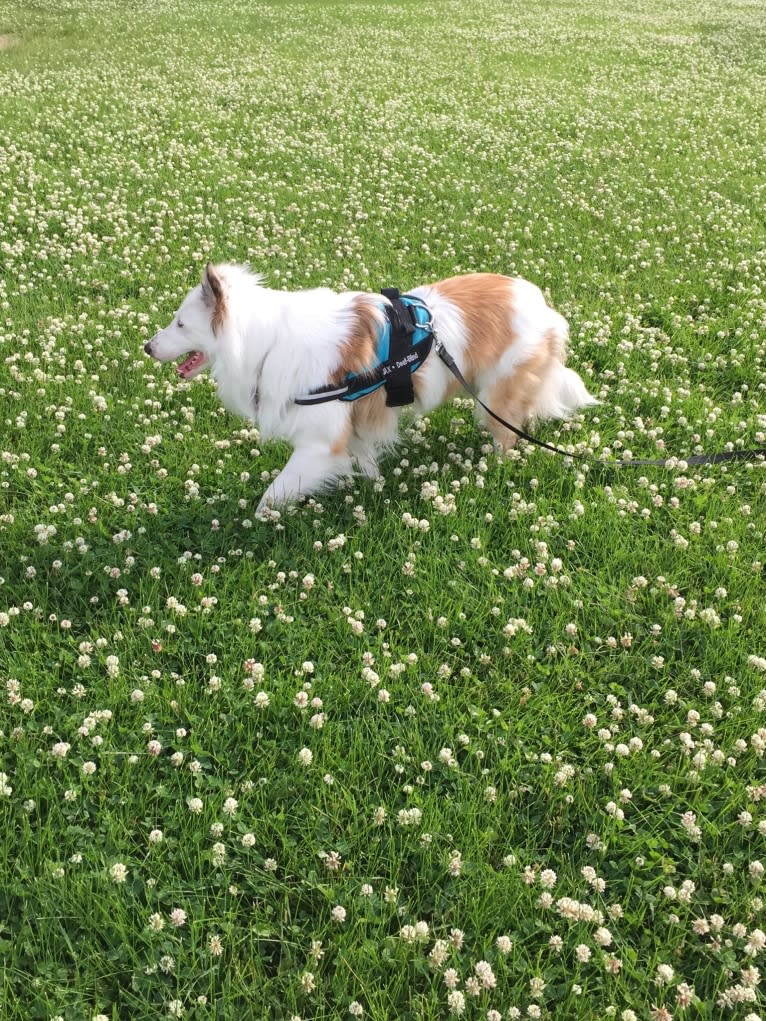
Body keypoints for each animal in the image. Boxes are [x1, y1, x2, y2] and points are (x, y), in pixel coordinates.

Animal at [144, 263, 600, 514]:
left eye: (180, 324)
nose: (147, 347)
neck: (263, 342)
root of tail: (544, 307)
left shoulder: (318, 442)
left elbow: (272, 494)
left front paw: (259, 517)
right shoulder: (350, 427)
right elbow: (365, 461)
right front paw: (374, 485)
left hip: (494, 396)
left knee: (508, 434)